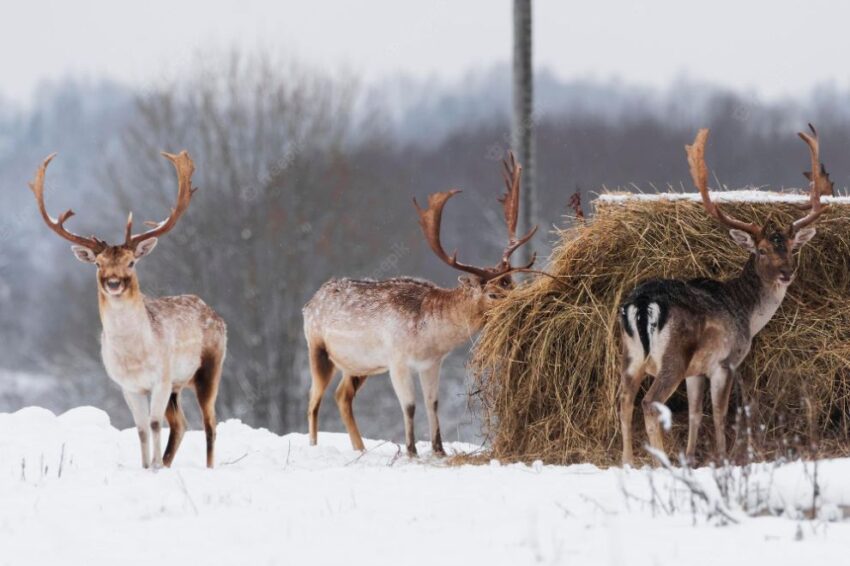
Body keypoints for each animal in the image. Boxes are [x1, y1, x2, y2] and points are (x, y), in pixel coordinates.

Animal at [28, 151, 225, 470]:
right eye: (98, 264)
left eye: (131, 262)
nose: (113, 282)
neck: (135, 357)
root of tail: (213, 313)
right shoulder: (128, 386)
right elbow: (142, 428)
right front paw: (147, 467)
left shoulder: (160, 378)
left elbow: (155, 424)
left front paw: (154, 468)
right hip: (177, 386)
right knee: (181, 423)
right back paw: (167, 462)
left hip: (209, 366)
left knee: (209, 422)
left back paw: (205, 467)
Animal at [302, 153, 532, 460]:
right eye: (493, 294)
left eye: (512, 284)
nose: (521, 306)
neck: (429, 336)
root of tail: (308, 304)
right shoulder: (397, 359)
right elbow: (409, 405)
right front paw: (411, 450)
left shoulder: (432, 363)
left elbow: (432, 403)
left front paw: (439, 449)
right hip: (317, 348)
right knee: (313, 400)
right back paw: (314, 446)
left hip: (359, 364)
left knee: (342, 396)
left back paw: (360, 449)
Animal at [620, 127, 824, 466]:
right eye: (762, 250)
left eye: (791, 249)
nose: (786, 273)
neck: (747, 313)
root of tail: (642, 305)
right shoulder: (725, 362)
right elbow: (718, 413)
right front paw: (724, 458)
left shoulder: (696, 370)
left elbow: (694, 413)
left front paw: (691, 458)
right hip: (673, 357)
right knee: (649, 403)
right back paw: (661, 462)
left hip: (631, 356)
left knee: (624, 402)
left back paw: (627, 462)